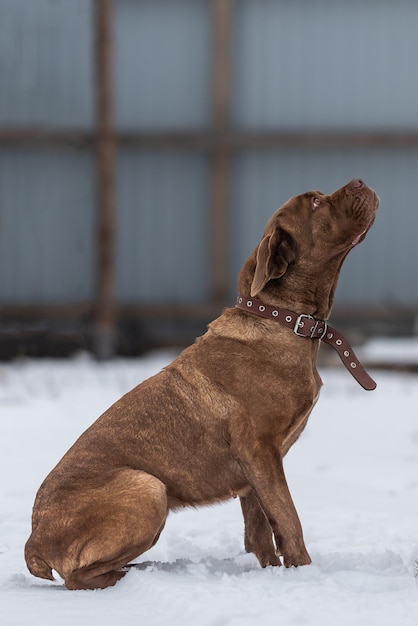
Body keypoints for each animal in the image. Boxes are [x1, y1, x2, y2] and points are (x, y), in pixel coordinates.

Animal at [25, 178, 378, 588]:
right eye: (318, 204)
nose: (360, 182)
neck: (284, 319)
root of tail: (34, 542)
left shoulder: (256, 471)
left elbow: (261, 529)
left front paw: (275, 573)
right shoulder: (261, 451)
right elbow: (289, 520)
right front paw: (305, 573)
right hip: (148, 487)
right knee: (78, 577)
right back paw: (131, 576)